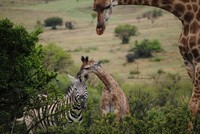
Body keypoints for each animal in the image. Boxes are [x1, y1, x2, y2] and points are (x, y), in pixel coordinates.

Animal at [92, 0, 200, 131]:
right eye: (94, 8)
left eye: (107, 6)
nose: (100, 28)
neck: (187, 16)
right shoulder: (188, 62)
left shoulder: (198, 61)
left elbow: (193, 105)